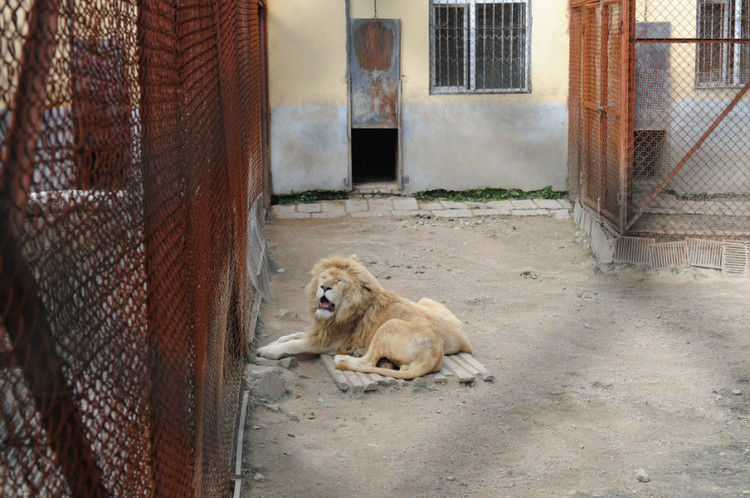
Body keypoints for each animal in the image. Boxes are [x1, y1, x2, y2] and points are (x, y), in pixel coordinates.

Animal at [256, 255, 472, 380]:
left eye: (339, 281)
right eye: (324, 277)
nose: (324, 287)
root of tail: (434, 357)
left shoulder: (324, 343)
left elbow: (293, 345)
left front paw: (267, 351)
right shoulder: (321, 330)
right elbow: (294, 335)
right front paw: (276, 341)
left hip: (390, 324)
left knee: (368, 362)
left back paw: (346, 356)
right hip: (424, 300)